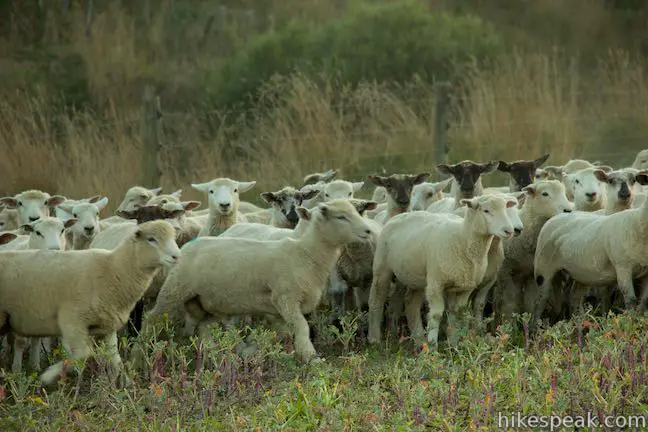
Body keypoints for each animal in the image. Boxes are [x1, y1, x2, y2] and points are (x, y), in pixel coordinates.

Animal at [0, 219, 180, 384]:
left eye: (173, 237)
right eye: (151, 239)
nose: (177, 256)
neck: (113, 269)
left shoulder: (108, 326)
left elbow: (116, 362)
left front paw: (117, 385)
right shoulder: (72, 321)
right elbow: (83, 353)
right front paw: (49, 375)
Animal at [144, 199, 372, 364]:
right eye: (341, 217)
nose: (369, 231)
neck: (305, 253)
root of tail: (187, 246)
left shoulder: (279, 309)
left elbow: (283, 334)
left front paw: (252, 351)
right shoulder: (286, 299)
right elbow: (302, 328)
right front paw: (312, 358)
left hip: (210, 304)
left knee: (203, 328)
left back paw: (214, 356)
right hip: (174, 290)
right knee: (151, 319)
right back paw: (143, 352)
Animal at [370, 193, 516, 348]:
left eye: (505, 209)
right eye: (486, 211)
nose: (509, 231)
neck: (463, 239)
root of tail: (399, 216)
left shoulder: (464, 286)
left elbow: (456, 312)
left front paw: (453, 343)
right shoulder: (436, 284)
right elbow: (436, 315)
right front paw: (433, 345)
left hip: (416, 277)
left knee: (411, 304)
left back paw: (419, 340)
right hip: (382, 265)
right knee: (377, 298)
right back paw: (374, 339)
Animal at [492, 179, 572, 324]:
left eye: (564, 192)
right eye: (545, 193)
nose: (568, 210)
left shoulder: (531, 273)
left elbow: (529, 303)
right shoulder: (505, 272)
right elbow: (509, 303)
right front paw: (508, 325)